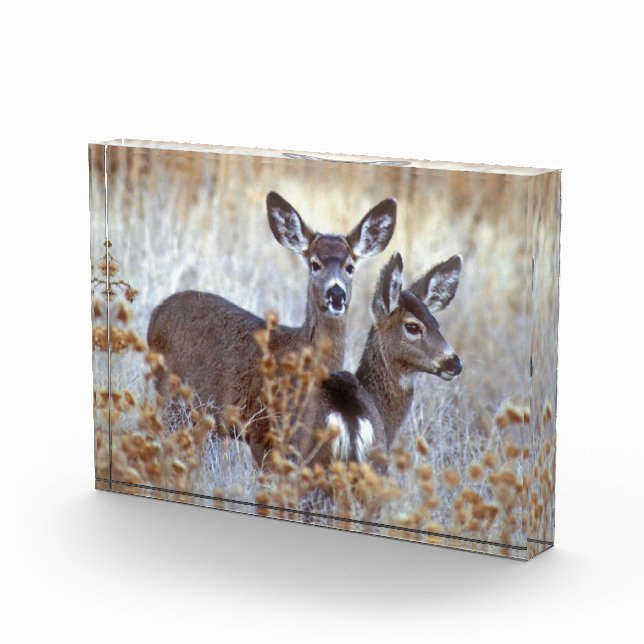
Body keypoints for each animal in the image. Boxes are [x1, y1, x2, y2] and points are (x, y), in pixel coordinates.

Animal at [147, 191, 397, 462]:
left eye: (350, 267)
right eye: (314, 264)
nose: (337, 293)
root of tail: (158, 311)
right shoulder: (263, 432)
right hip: (171, 397)